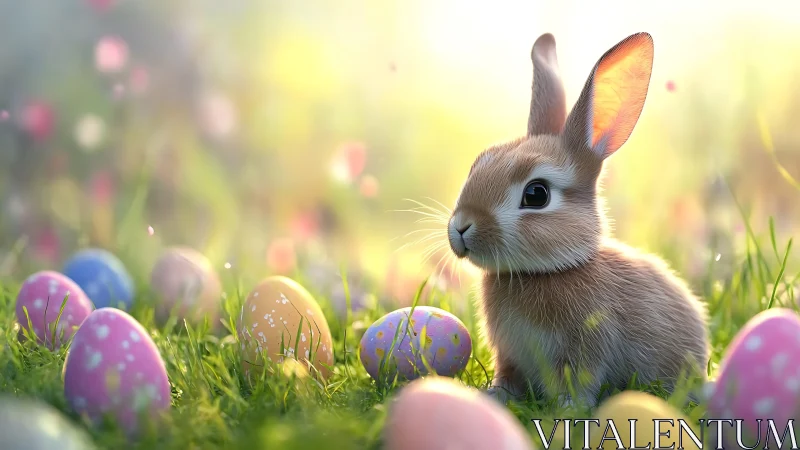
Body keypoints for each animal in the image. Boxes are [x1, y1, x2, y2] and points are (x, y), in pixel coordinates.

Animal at [446, 32, 710, 408]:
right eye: (480, 162)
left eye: (536, 194)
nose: (461, 226)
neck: (543, 273)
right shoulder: (510, 354)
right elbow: (509, 377)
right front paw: (493, 395)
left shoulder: (587, 347)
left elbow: (579, 381)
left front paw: (568, 409)